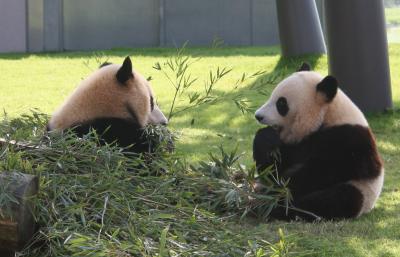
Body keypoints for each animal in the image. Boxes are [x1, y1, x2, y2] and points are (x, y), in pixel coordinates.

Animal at [253, 62, 384, 220]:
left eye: (281, 104)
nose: (258, 116)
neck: (327, 115)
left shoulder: (349, 140)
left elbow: (321, 171)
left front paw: (280, 190)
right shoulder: (295, 144)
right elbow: (271, 169)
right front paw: (266, 137)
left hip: (362, 190)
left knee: (336, 199)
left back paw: (278, 208)